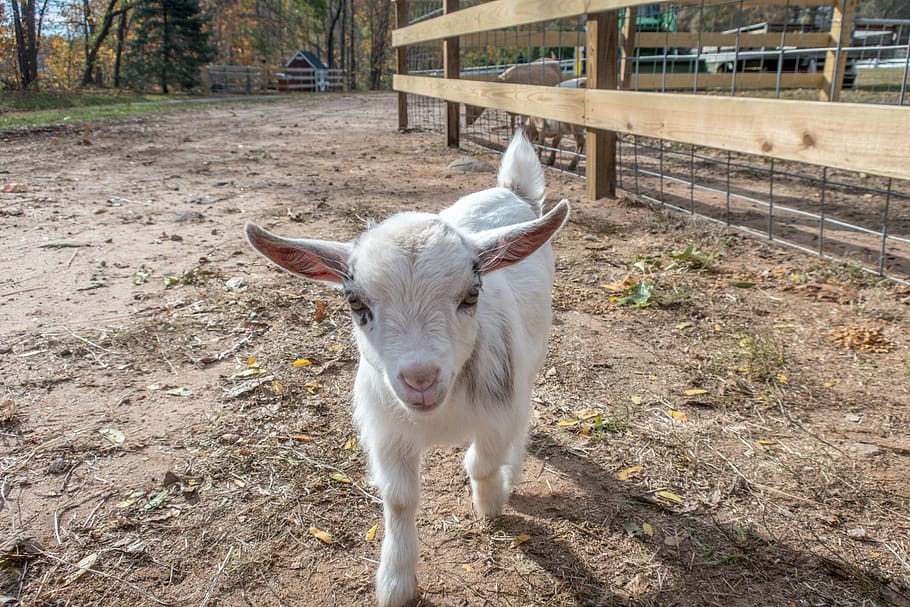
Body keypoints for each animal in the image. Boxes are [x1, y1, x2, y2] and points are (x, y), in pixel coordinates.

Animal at [245, 132, 569, 607]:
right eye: (355, 302)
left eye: (472, 294)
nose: (420, 380)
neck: (440, 417)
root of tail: (510, 190)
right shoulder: (387, 430)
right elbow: (399, 500)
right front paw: (395, 582)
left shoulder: (499, 410)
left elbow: (482, 462)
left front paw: (491, 503)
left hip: (533, 352)